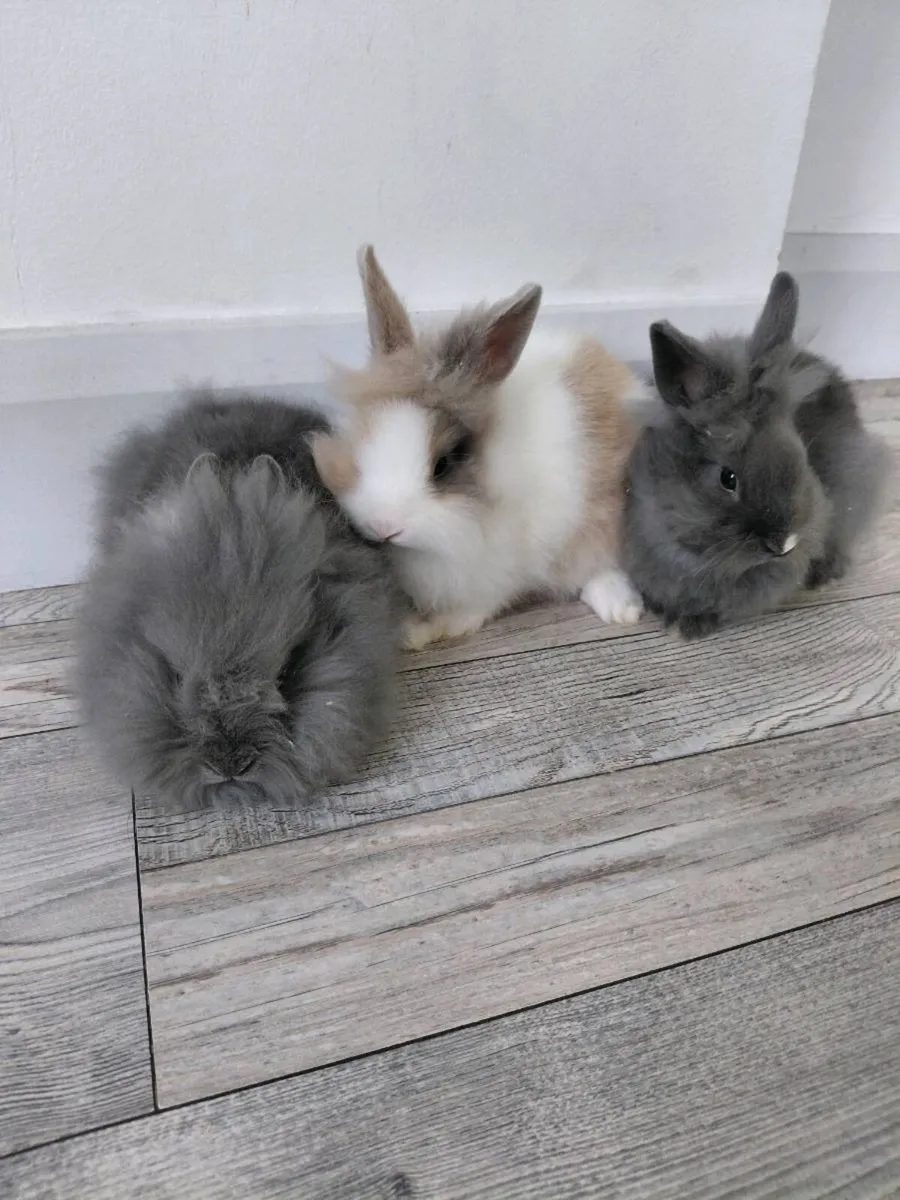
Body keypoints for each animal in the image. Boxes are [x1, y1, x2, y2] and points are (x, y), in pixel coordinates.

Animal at [310, 245, 649, 650]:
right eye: (359, 442)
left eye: (442, 465)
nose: (384, 526)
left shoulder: (499, 569)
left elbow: (475, 607)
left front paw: (423, 631)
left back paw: (620, 610)